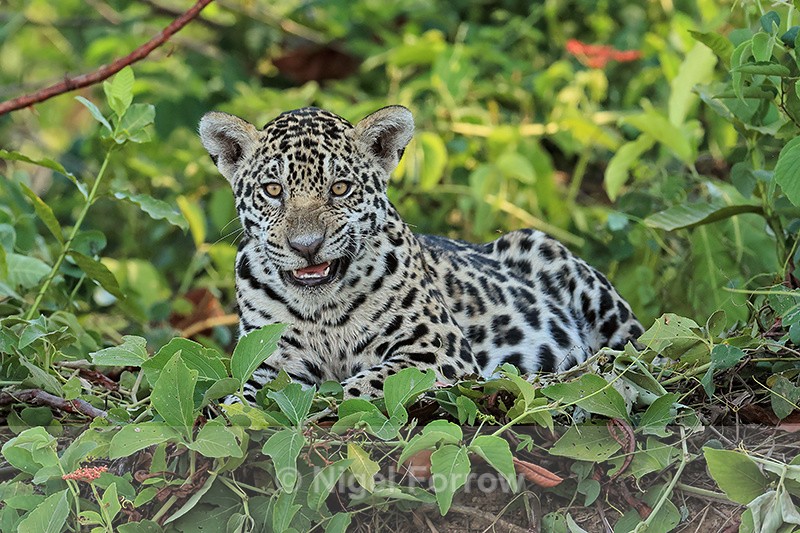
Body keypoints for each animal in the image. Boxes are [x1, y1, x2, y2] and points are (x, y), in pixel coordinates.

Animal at [198, 105, 644, 402]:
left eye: (340, 188)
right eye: (273, 190)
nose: (306, 246)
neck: (324, 315)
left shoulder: (437, 349)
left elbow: (364, 385)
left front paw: (327, 398)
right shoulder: (269, 359)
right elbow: (244, 394)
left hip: (557, 262)